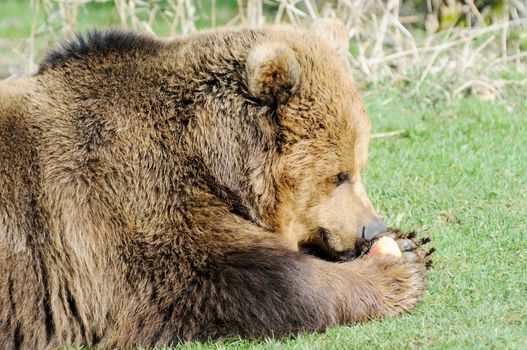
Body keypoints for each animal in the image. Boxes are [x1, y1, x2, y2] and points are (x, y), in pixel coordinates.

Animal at [0, 20, 428, 348]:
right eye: (339, 174)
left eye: (359, 165)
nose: (370, 228)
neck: (208, 160)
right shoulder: (127, 199)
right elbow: (226, 278)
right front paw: (398, 270)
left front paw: (408, 241)